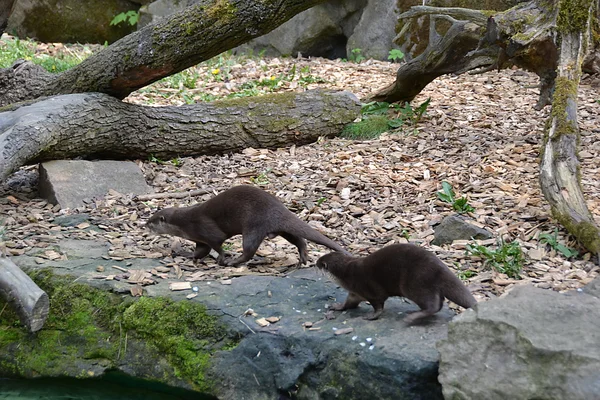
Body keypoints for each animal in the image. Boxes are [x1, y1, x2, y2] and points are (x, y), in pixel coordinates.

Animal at [147, 184, 350, 266]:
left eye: (151, 221)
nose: (144, 225)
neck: (185, 223)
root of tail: (279, 208)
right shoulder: (200, 239)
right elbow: (200, 251)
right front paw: (186, 254)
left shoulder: (205, 230)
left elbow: (217, 245)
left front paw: (222, 258)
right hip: (280, 228)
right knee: (299, 239)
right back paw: (303, 257)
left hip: (254, 225)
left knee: (249, 250)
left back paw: (234, 262)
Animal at [316, 242, 476, 324]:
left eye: (320, 263)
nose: (315, 262)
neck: (347, 274)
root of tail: (440, 268)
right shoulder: (355, 293)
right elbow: (348, 303)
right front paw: (337, 306)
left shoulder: (370, 290)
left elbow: (379, 305)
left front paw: (371, 316)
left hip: (415, 284)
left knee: (433, 305)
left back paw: (412, 316)